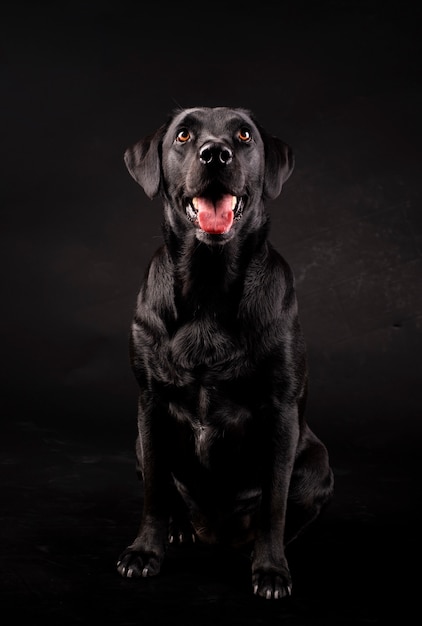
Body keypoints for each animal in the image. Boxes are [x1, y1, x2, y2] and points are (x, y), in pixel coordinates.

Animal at [115, 107, 332, 600]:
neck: (208, 287)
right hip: (139, 440)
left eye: (244, 135)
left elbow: (274, 503)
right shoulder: (150, 402)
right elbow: (155, 492)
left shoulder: (281, 411)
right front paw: (145, 551)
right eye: (183, 135)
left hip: (317, 462)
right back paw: (180, 528)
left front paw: (271, 569)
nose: (215, 153)